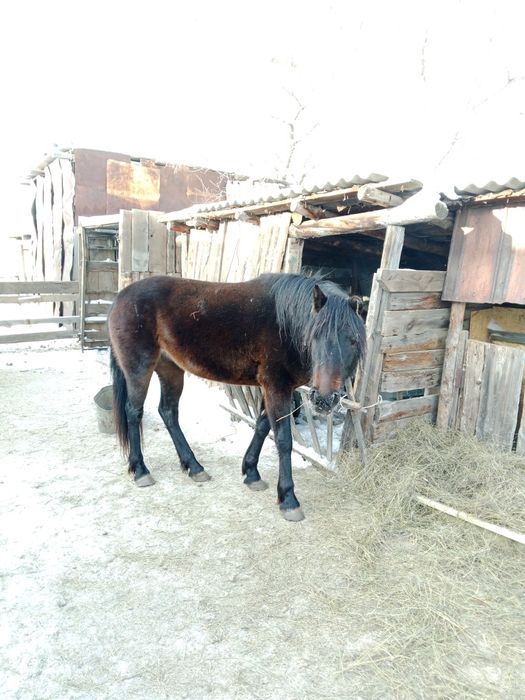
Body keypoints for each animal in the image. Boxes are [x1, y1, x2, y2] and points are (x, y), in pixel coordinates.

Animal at [108, 273, 366, 522]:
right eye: (315, 337)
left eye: (353, 341)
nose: (324, 399)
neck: (285, 325)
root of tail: (120, 298)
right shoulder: (276, 387)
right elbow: (283, 440)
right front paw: (288, 499)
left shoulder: (275, 389)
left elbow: (262, 426)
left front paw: (251, 472)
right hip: (139, 368)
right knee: (134, 412)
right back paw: (141, 470)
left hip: (170, 369)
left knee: (168, 412)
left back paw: (194, 466)